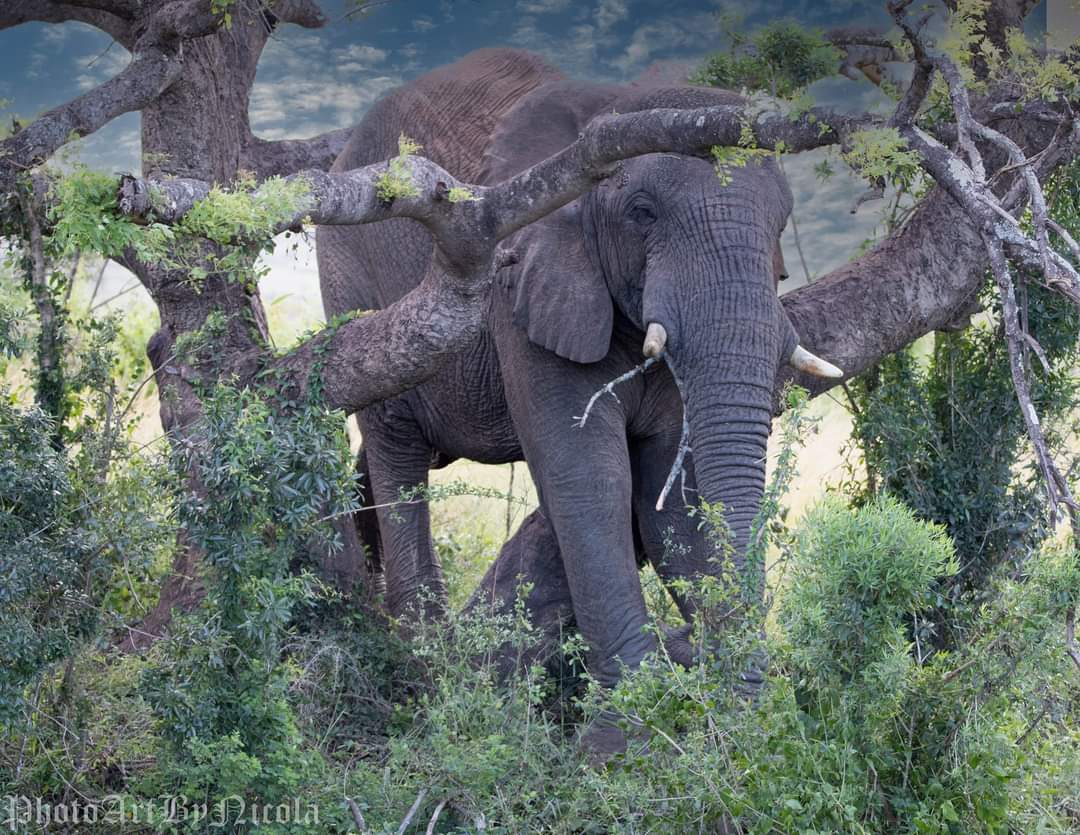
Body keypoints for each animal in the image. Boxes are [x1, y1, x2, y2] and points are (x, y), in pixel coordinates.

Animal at [317, 48, 840, 714]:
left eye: (781, 225)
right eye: (642, 214)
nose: (742, 681)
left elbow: (671, 493)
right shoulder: (520, 276)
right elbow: (591, 478)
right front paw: (632, 717)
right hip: (351, 270)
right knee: (396, 446)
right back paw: (425, 658)